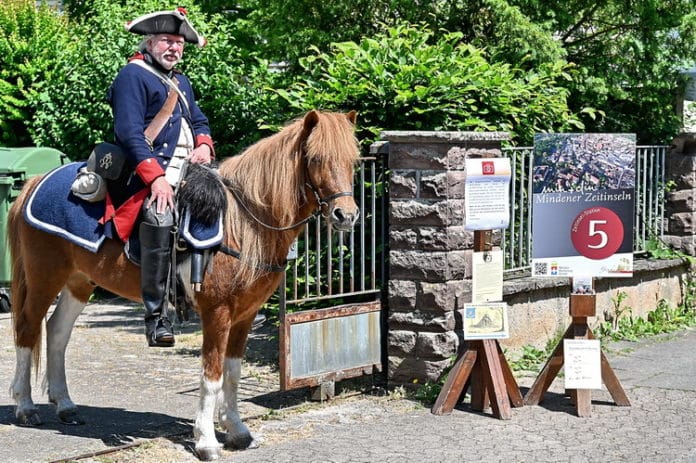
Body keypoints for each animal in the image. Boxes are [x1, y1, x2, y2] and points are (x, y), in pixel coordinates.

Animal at [9, 110, 358, 462]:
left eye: (352, 160)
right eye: (315, 158)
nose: (347, 215)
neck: (244, 224)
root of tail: (34, 182)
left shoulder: (245, 315)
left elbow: (233, 372)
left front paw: (238, 431)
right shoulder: (217, 313)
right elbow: (212, 375)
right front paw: (206, 440)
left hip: (79, 281)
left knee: (56, 331)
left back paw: (65, 405)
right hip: (44, 277)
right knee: (27, 329)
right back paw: (25, 406)